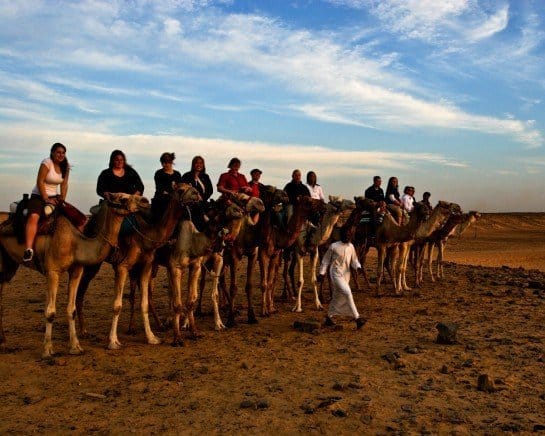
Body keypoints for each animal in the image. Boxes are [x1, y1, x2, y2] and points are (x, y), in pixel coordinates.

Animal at [0, 192, 149, 356]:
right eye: (123, 198)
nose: (145, 201)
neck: (76, 243)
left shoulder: (76, 270)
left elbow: (71, 309)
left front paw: (76, 347)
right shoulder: (53, 271)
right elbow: (50, 312)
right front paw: (48, 350)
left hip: (9, 264)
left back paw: (4, 342)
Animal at [73, 182, 199, 350]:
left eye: (192, 186)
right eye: (180, 190)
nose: (196, 193)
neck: (147, 236)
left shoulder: (146, 266)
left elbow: (144, 302)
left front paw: (152, 338)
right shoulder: (124, 266)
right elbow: (117, 305)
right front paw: (113, 341)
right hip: (94, 264)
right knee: (81, 292)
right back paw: (84, 331)